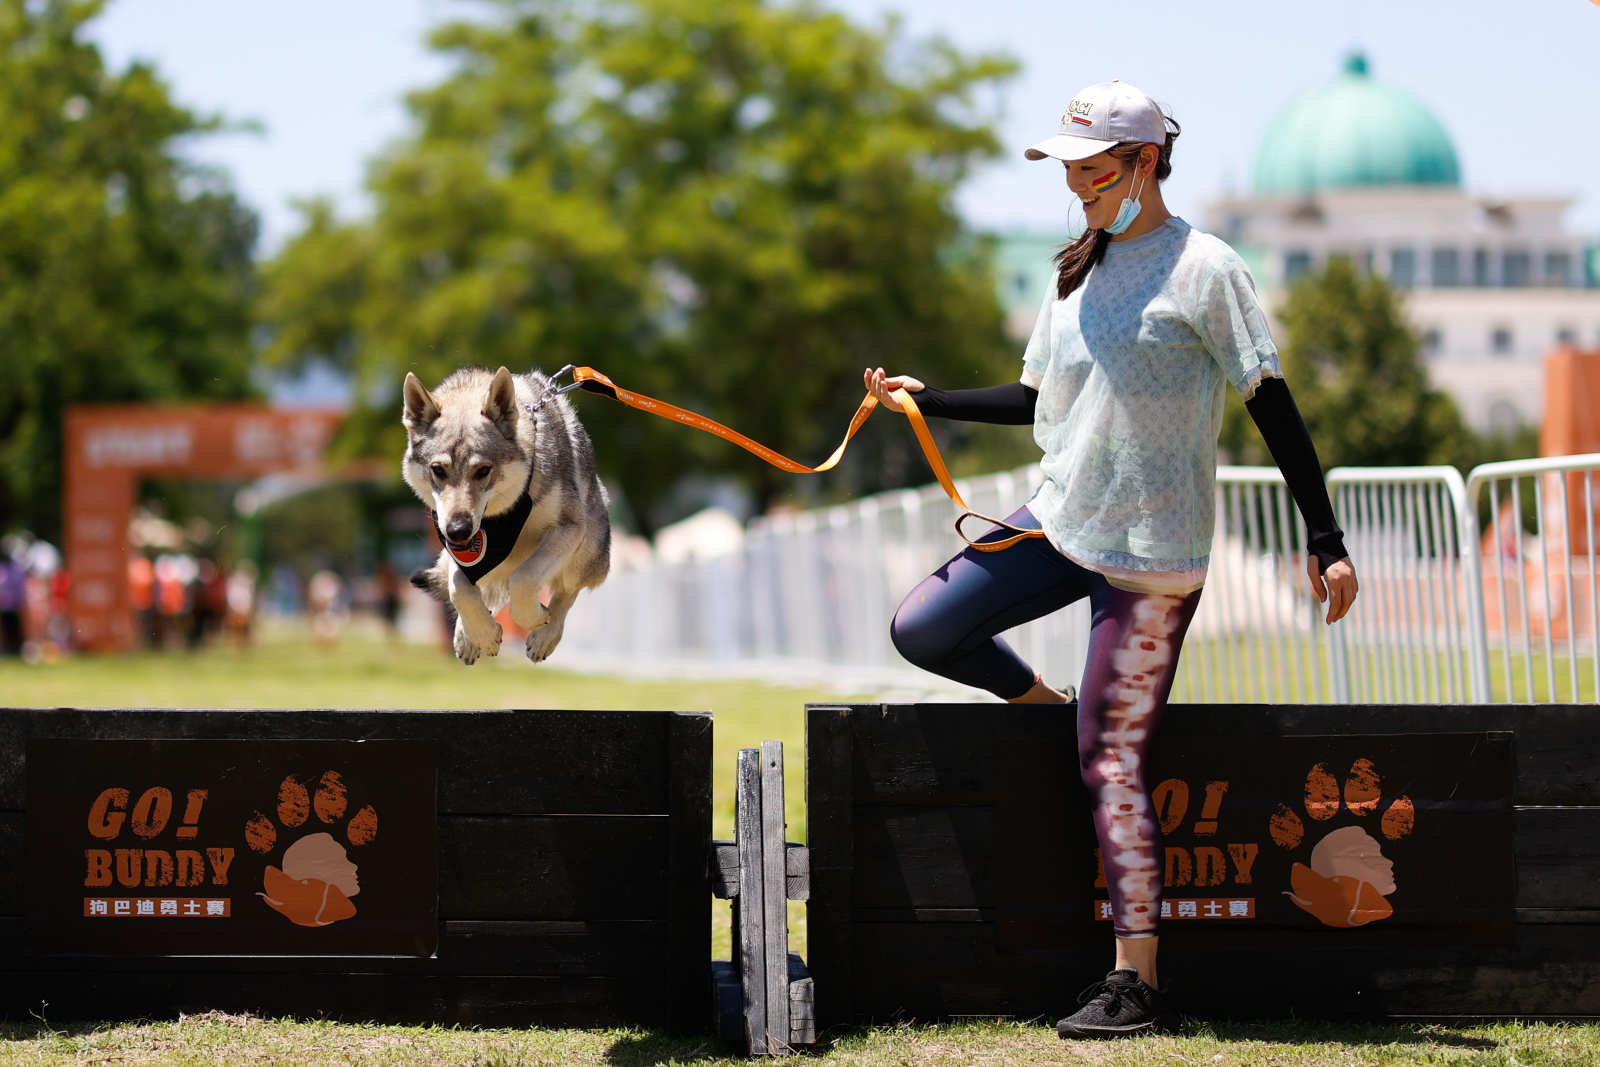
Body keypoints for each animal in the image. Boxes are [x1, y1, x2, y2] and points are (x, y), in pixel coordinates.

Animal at [403, 367, 608, 668]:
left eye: (483, 470)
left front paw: (533, 618)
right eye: (438, 470)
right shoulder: (454, 546)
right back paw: (466, 637)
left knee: (565, 593)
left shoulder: (569, 527)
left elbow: (524, 578)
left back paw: (544, 637)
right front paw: (483, 635)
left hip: (586, 551)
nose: (459, 530)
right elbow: (459, 588)